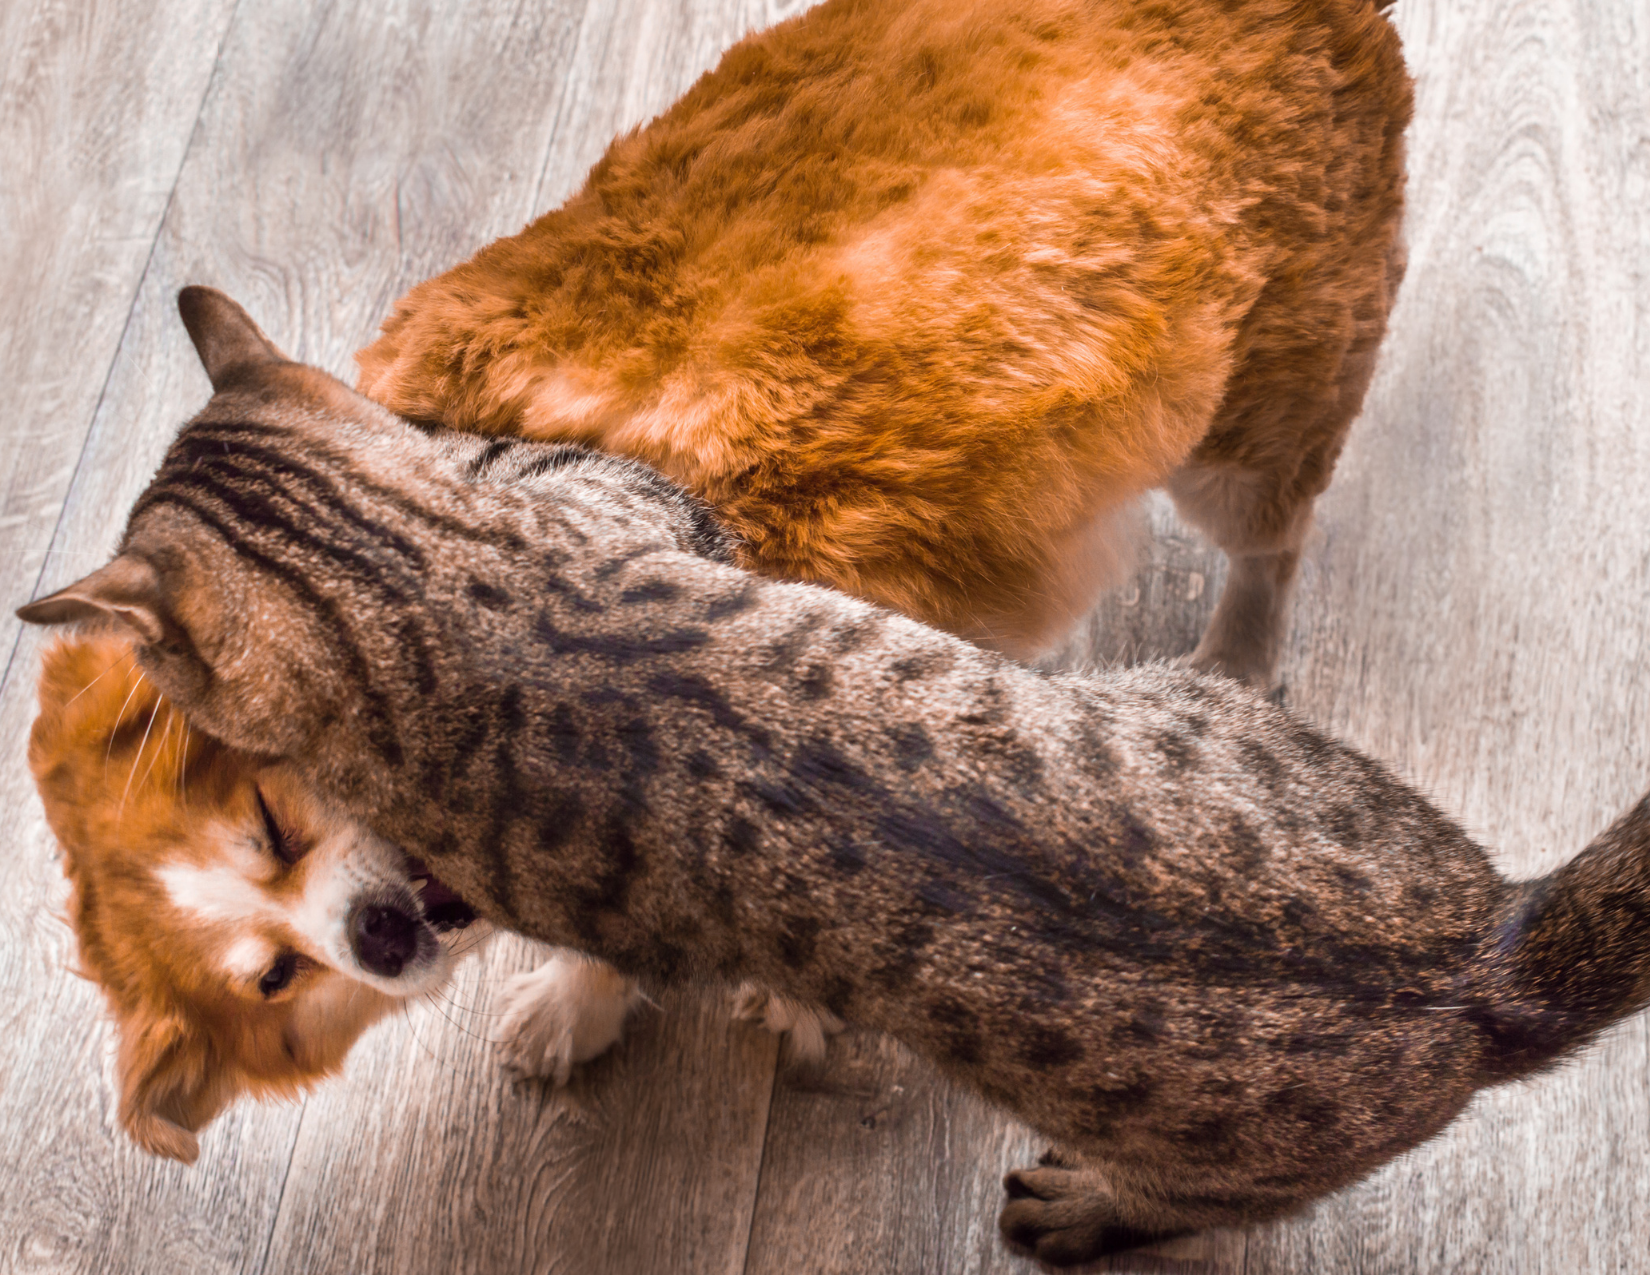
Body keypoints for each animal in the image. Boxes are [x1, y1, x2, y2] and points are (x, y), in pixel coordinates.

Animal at [32, 0, 1412, 1161]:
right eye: (275, 975)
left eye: (276, 826)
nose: (376, 938)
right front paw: (585, 997)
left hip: (1252, 418)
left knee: (1272, 535)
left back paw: (1240, 650)